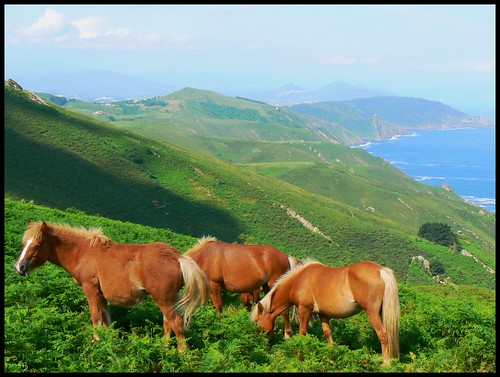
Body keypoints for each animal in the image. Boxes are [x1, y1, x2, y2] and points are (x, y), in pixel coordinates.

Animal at [13, 219, 209, 352]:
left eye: (37, 244)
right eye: (24, 243)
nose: (19, 267)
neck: (82, 251)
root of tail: (177, 257)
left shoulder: (90, 289)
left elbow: (95, 316)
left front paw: (96, 342)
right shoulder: (101, 295)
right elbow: (106, 319)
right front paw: (109, 343)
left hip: (163, 300)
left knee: (176, 322)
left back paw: (182, 354)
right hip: (166, 300)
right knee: (168, 323)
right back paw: (164, 349)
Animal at [252, 258, 400, 364]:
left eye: (259, 326)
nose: (263, 346)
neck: (299, 281)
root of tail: (381, 270)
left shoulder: (304, 309)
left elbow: (302, 332)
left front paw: (299, 354)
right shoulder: (322, 313)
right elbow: (327, 332)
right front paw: (332, 353)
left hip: (372, 313)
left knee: (383, 334)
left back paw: (386, 363)